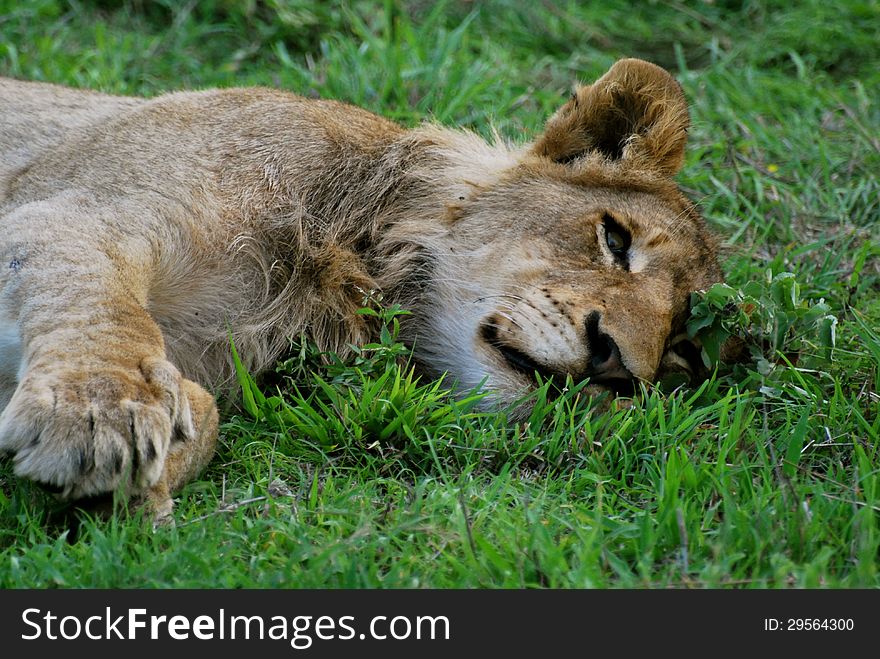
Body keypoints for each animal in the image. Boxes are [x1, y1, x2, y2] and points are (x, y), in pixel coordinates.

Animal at [0, 59, 720, 520]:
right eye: (615, 239)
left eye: (680, 355)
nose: (614, 362)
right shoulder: (69, 209)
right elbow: (99, 306)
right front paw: (100, 414)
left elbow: (203, 411)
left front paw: (145, 470)